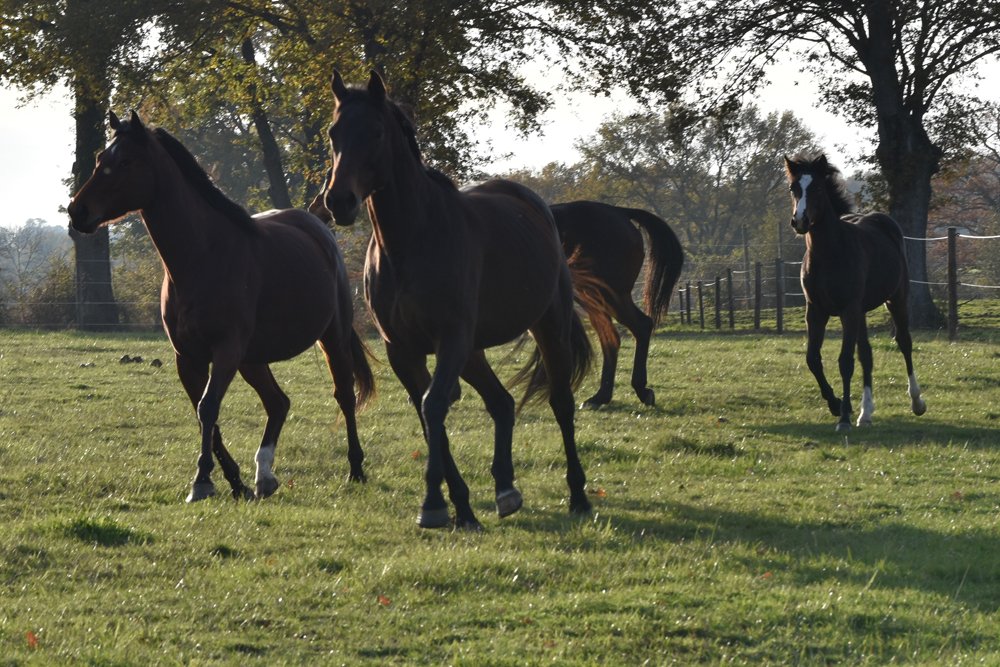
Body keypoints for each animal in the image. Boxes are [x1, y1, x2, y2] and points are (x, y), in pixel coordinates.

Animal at [68, 110, 374, 502]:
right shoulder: (188, 358)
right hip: (253, 359)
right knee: (278, 403)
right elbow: (203, 415)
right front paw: (234, 481)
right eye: (99, 159)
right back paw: (264, 476)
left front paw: (202, 480)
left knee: (344, 395)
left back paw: (355, 468)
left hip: (330, 337)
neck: (202, 256)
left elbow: (208, 407)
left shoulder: (225, 351)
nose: (77, 211)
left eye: (125, 162)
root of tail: (318, 226)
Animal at [323, 71, 593, 529]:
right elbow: (427, 415)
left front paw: (433, 503)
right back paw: (505, 490)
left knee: (561, 404)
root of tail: (533, 204)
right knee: (501, 403)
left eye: (375, 131)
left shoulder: (449, 340)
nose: (339, 201)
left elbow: (433, 406)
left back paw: (578, 495)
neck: (410, 242)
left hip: (548, 328)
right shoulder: (403, 351)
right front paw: (461, 507)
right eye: (332, 133)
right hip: (474, 351)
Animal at [551, 202, 683, 407]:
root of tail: (619, 211)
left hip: (606, 292)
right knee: (610, 337)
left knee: (639, 326)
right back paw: (601, 396)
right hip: (593, 295)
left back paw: (639, 389)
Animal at [784, 154, 926, 432]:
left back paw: (916, 402)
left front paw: (844, 419)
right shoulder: (815, 311)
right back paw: (866, 413)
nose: (800, 221)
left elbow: (845, 361)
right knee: (867, 355)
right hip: (861, 312)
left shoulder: (848, 309)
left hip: (896, 299)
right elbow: (813, 359)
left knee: (904, 342)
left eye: (817, 188)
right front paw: (837, 404)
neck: (828, 255)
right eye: (794, 188)